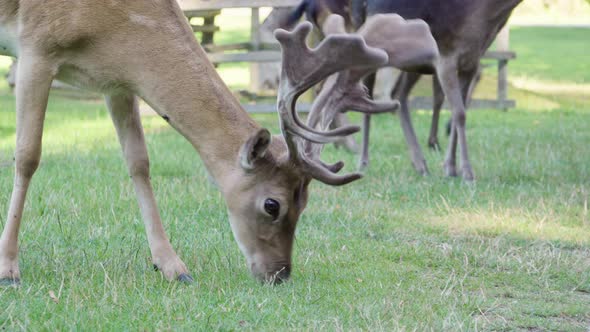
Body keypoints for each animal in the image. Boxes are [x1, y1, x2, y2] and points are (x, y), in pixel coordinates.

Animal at [0, 0, 398, 286]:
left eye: (306, 203)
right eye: (272, 205)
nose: (280, 274)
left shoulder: (115, 82)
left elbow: (139, 163)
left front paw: (173, 266)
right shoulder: (37, 48)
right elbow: (28, 155)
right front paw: (9, 269)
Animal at [290, 0, 524, 180]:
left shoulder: (471, 63)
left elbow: (459, 111)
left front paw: (451, 166)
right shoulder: (445, 58)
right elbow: (460, 113)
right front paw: (464, 171)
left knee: (393, 97)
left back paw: (417, 163)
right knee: (330, 89)